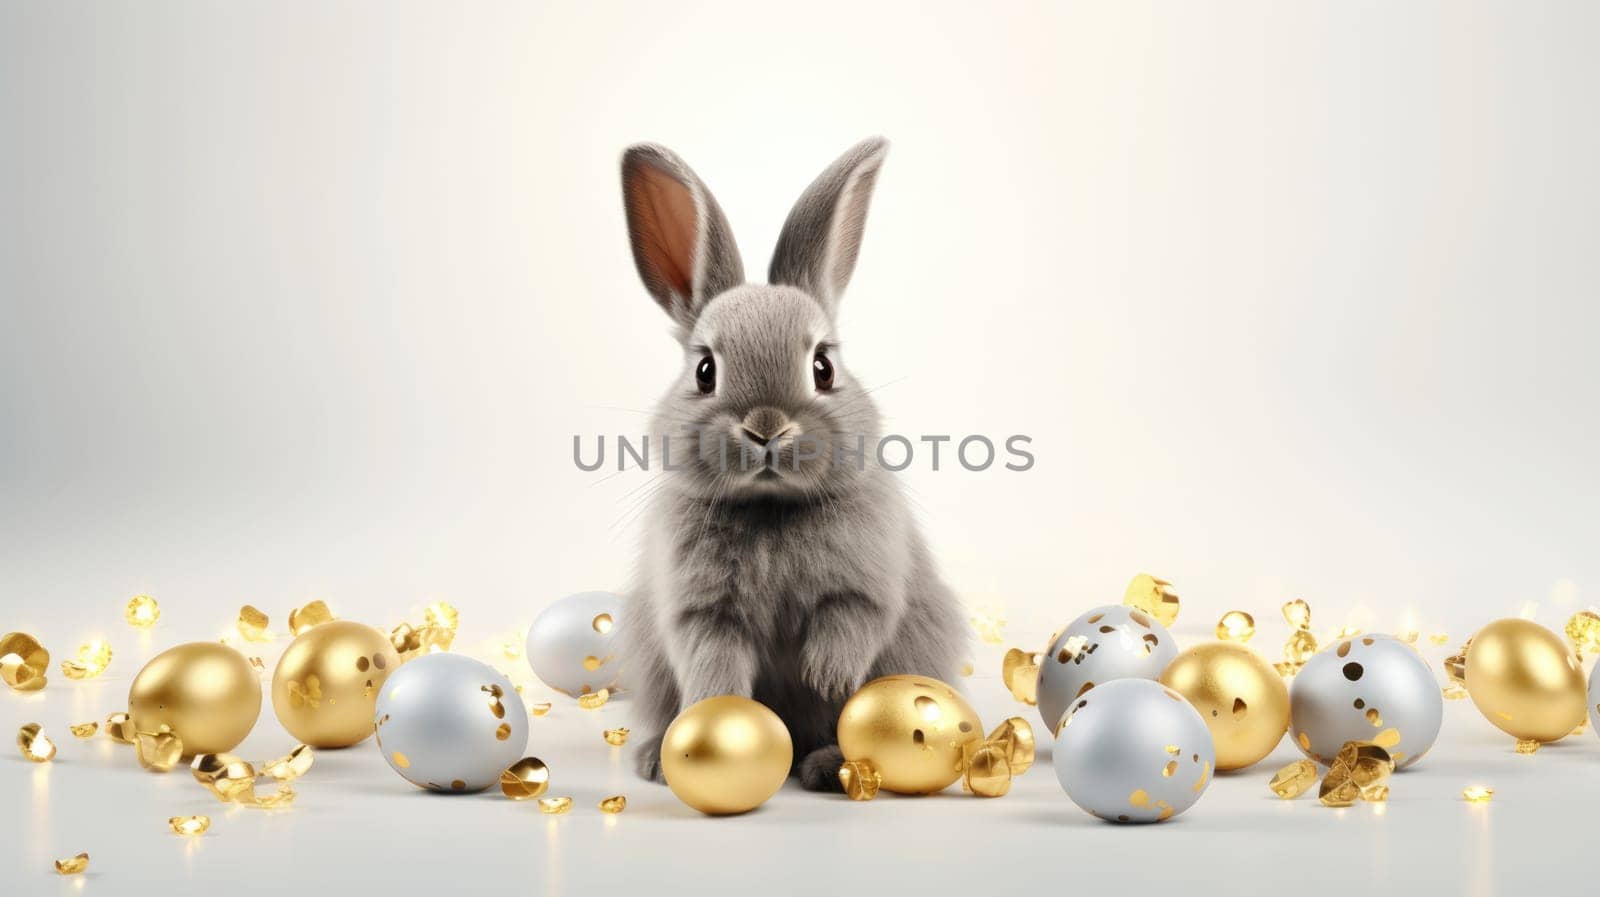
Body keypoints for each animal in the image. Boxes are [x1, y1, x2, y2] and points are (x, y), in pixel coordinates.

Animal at [611, 136, 960, 786]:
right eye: (705, 371)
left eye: (823, 367)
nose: (767, 427)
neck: (771, 509)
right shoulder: (702, 613)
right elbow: (712, 661)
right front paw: (718, 710)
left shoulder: (866, 585)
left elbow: (853, 621)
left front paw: (825, 675)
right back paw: (653, 761)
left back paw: (827, 768)